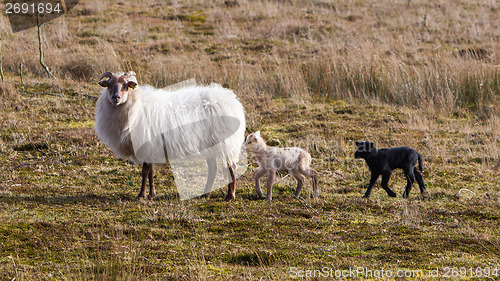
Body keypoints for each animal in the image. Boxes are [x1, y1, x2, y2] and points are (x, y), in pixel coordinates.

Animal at [94, 71, 246, 200]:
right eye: (109, 85)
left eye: (126, 86)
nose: (116, 98)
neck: (135, 107)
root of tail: (232, 101)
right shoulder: (150, 148)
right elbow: (150, 172)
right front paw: (151, 194)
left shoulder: (147, 144)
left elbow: (145, 171)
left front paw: (141, 195)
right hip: (210, 145)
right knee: (213, 168)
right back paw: (205, 194)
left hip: (226, 142)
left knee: (231, 167)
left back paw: (230, 196)